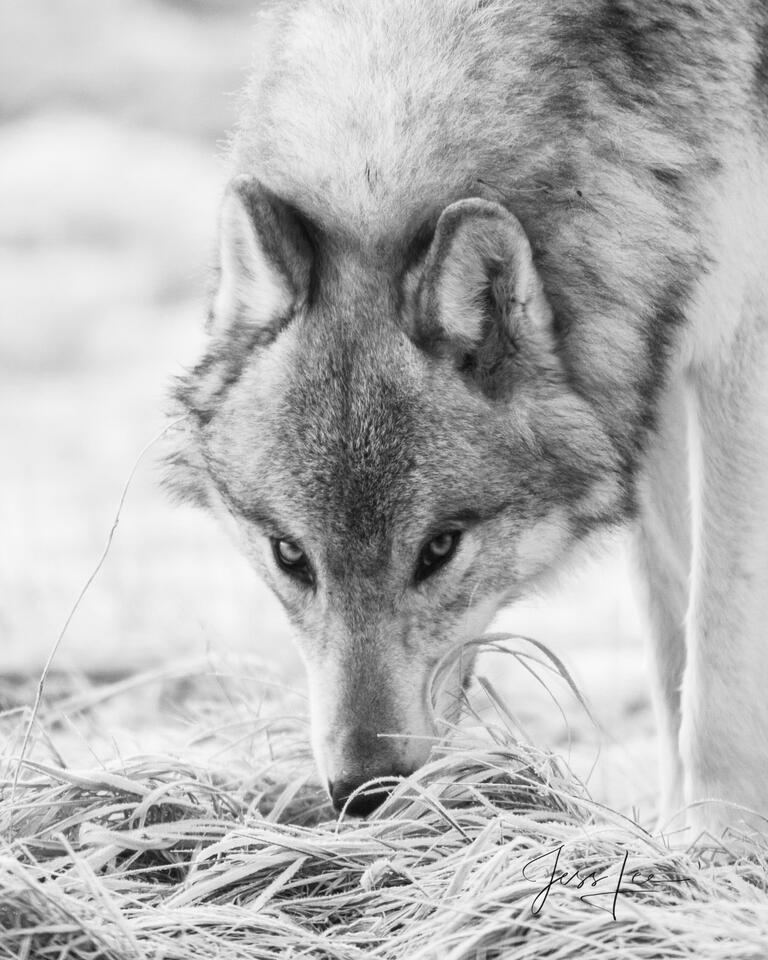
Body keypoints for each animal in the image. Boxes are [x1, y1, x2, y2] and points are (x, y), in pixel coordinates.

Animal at [168, 0, 768, 828]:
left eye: (440, 548)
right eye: (290, 556)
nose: (365, 791)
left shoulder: (737, 343)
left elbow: (718, 659)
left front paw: (713, 849)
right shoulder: (652, 360)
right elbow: (671, 631)